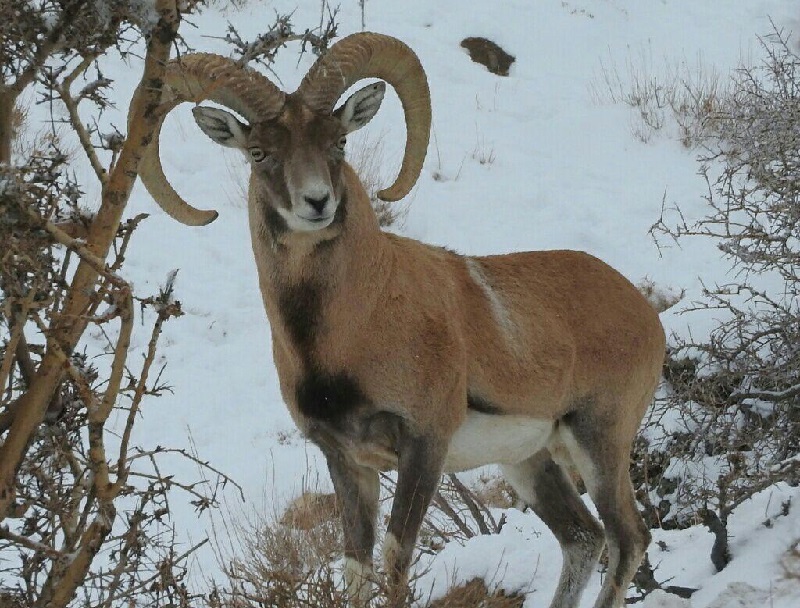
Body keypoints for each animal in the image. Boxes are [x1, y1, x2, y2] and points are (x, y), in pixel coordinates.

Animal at [139, 32, 668, 608]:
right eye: (259, 153)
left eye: (338, 143)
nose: (316, 202)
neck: (347, 333)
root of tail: (644, 314)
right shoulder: (348, 462)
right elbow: (356, 567)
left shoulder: (424, 446)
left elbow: (395, 559)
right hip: (530, 462)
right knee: (582, 539)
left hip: (600, 442)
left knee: (626, 539)